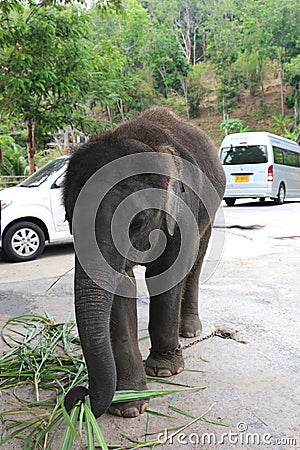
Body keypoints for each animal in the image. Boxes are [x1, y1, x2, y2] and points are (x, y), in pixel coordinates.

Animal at [63, 107, 225, 416]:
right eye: (68, 221)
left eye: (136, 222)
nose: (79, 394)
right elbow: (121, 287)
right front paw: (129, 405)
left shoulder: (182, 211)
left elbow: (168, 274)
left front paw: (164, 371)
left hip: (211, 209)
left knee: (196, 263)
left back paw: (189, 331)